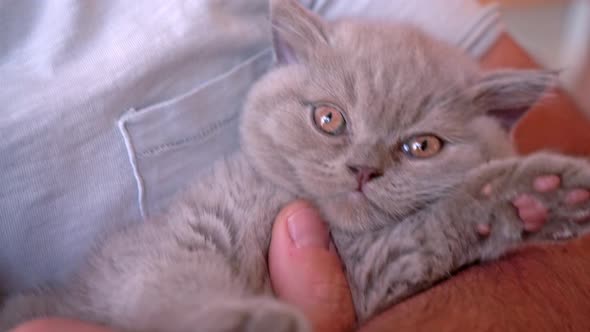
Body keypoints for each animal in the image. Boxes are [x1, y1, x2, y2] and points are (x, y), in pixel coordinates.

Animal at [1, 0, 590, 330]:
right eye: (329, 118)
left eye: (421, 147)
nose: (362, 169)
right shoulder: (162, 247)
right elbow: (167, 285)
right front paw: (246, 322)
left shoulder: (371, 271)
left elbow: (430, 233)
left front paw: (535, 196)